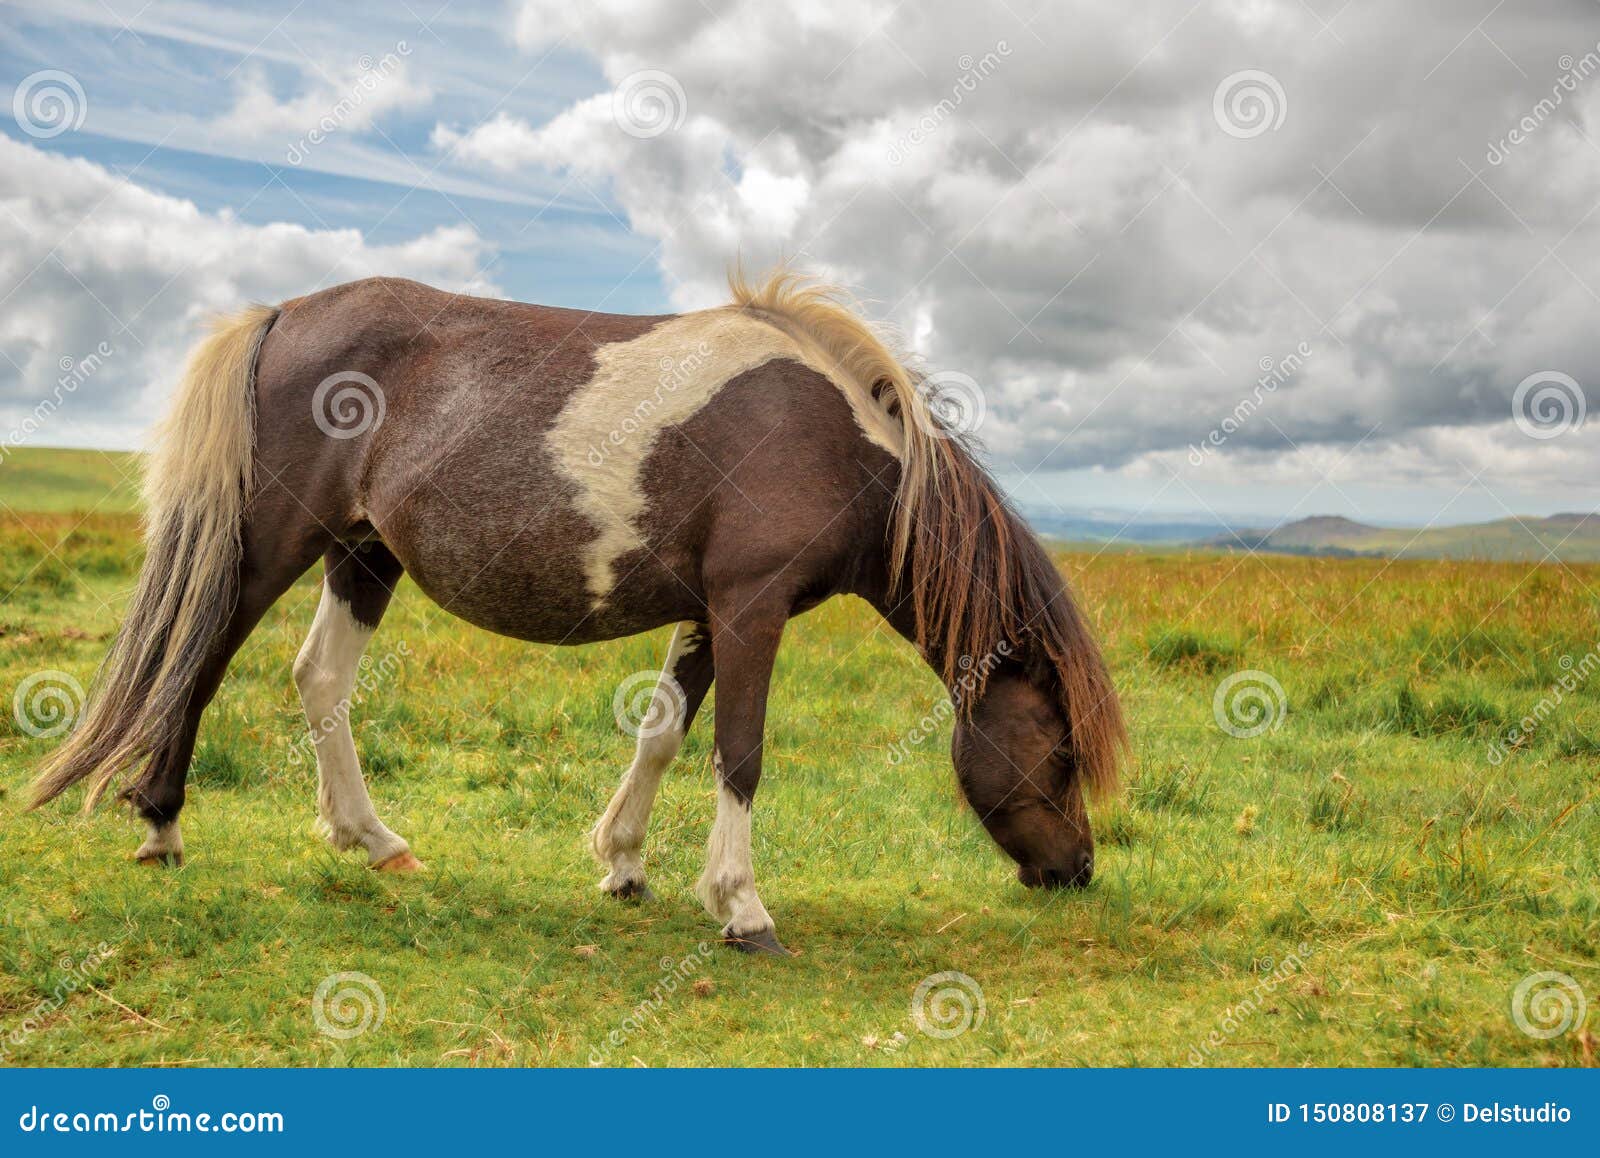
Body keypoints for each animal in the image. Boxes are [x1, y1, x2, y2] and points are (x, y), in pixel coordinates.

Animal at [32, 270, 1127, 954]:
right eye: (1058, 752)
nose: (1075, 871)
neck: (834, 436)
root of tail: (287, 313)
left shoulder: (706, 610)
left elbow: (663, 734)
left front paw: (624, 864)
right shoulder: (753, 606)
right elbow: (739, 754)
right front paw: (742, 909)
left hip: (361, 554)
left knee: (322, 680)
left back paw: (373, 841)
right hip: (272, 543)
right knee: (202, 660)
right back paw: (161, 825)